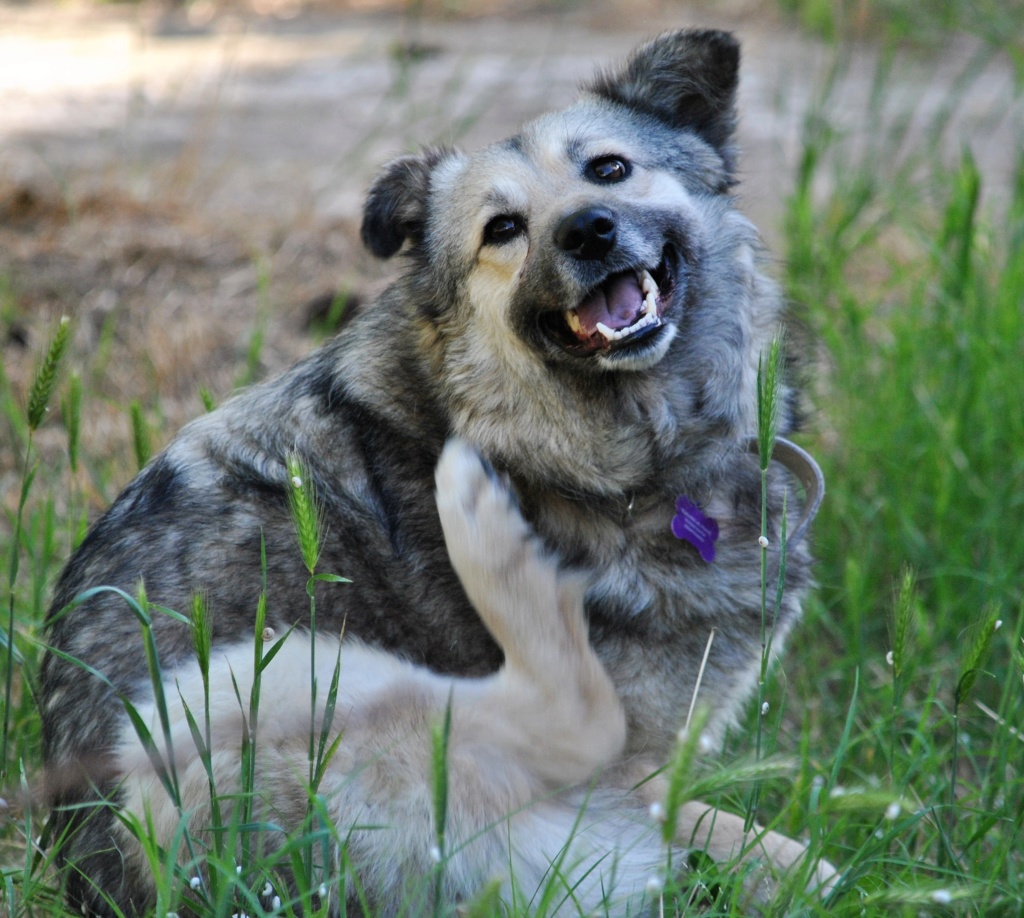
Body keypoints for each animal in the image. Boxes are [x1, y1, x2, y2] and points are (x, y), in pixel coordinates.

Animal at [44, 28, 835, 918]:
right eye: (503, 228)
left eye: (609, 169)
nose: (588, 231)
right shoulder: (636, 766)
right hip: (253, 691)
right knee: (572, 719)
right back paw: (477, 516)